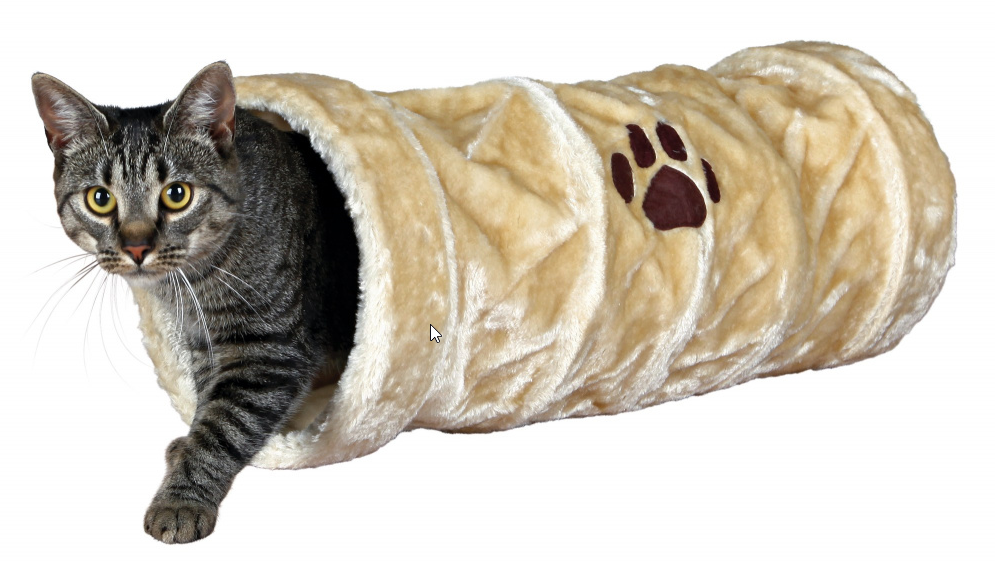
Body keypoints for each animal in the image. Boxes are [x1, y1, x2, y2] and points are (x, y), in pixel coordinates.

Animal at [32, 62, 360, 543]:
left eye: (177, 193)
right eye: (100, 199)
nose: (136, 247)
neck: (195, 284)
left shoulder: (268, 349)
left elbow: (222, 427)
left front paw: (181, 498)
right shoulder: (205, 343)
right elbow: (207, 406)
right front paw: (186, 448)